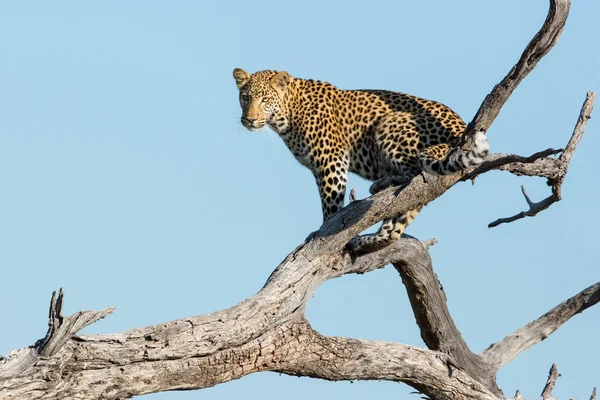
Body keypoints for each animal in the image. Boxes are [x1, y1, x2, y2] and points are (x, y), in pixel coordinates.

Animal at [232, 69, 490, 255]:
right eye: (245, 98)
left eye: (264, 99)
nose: (249, 119)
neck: (286, 115)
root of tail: (460, 128)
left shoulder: (331, 158)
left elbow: (331, 204)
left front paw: (325, 233)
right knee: (398, 223)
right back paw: (367, 240)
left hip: (390, 123)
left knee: (414, 175)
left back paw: (381, 185)